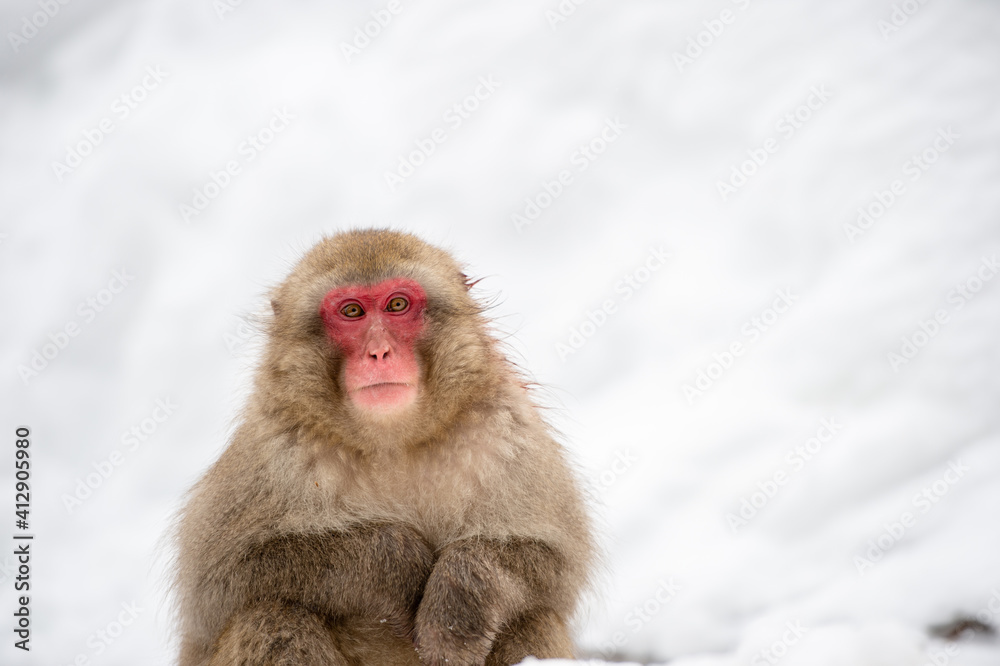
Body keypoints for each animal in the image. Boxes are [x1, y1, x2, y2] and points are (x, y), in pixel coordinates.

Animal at [172, 229, 594, 666]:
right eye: (352, 311)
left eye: (397, 305)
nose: (379, 352)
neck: (391, 443)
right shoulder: (272, 449)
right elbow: (217, 587)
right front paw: (396, 561)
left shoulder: (505, 430)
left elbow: (558, 567)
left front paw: (457, 604)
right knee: (269, 615)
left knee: (535, 619)